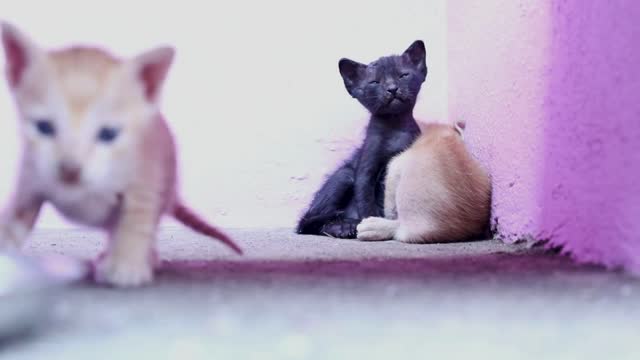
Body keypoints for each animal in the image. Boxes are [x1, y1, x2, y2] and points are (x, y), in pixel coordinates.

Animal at [0, 21, 241, 286]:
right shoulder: (29, 177)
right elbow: (13, 221)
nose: (71, 170)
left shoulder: (145, 182)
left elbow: (135, 223)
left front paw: (126, 266)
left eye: (108, 133)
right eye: (44, 127)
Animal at [298, 40, 428, 239]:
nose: (392, 88)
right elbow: (366, 201)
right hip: (345, 176)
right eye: (375, 82)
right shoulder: (366, 170)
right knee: (307, 223)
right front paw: (372, 225)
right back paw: (344, 227)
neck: (395, 128)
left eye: (403, 75)